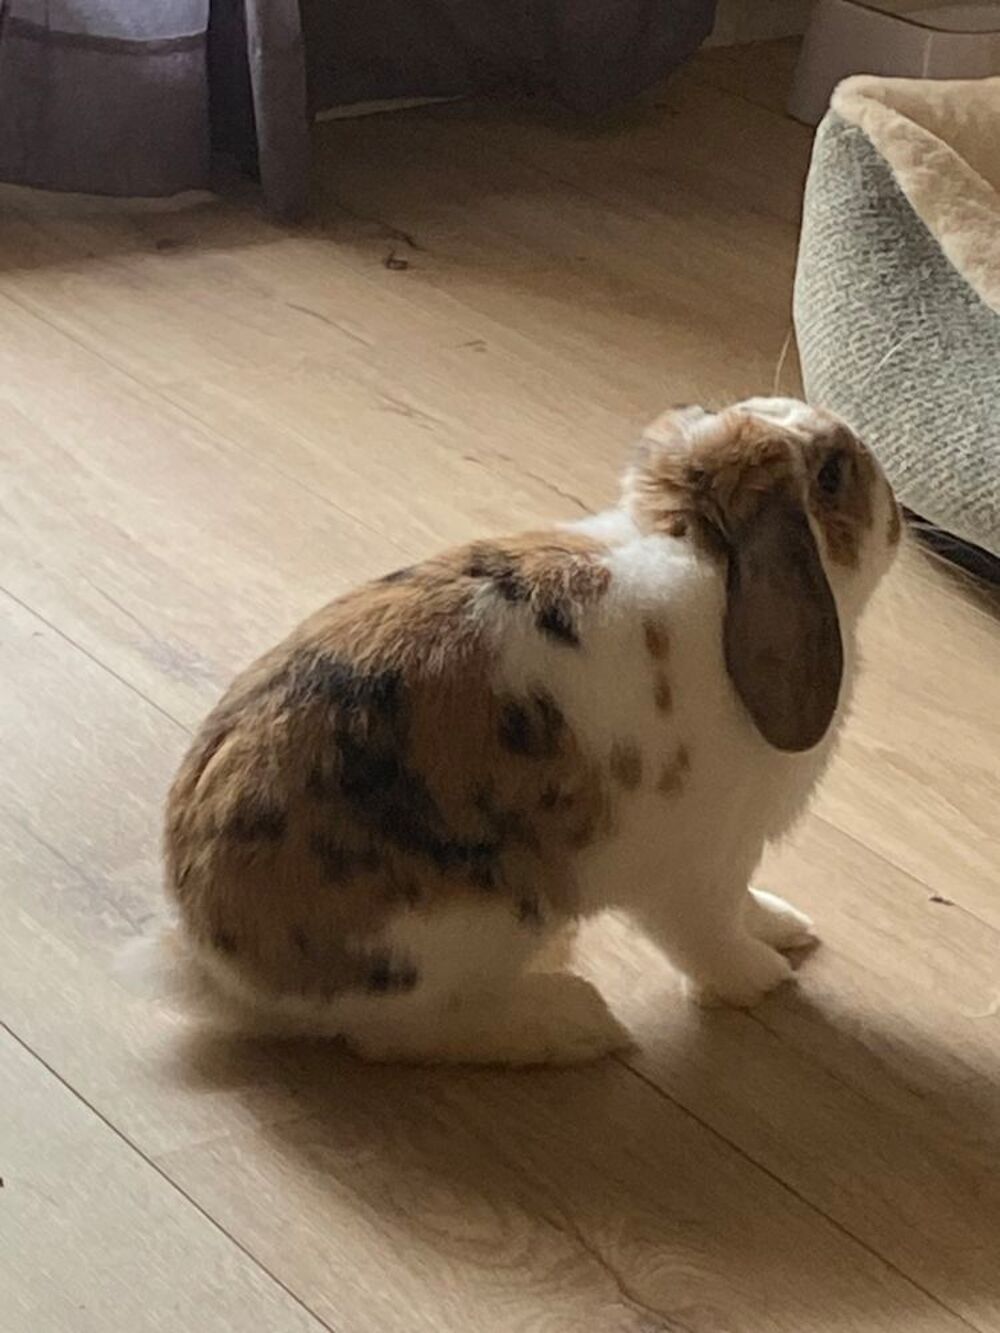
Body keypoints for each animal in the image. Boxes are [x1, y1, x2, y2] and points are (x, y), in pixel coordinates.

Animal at [163, 397, 901, 1065]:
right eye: (831, 476)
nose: (895, 508)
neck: (708, 564)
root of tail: (219, 966)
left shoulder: (734, 854)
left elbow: (745, 901)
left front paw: (786, 926)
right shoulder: (692, 867)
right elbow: (710, 938)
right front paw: (764, 977)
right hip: (471, 925)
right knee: (399, 1033)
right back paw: (577, 1023)